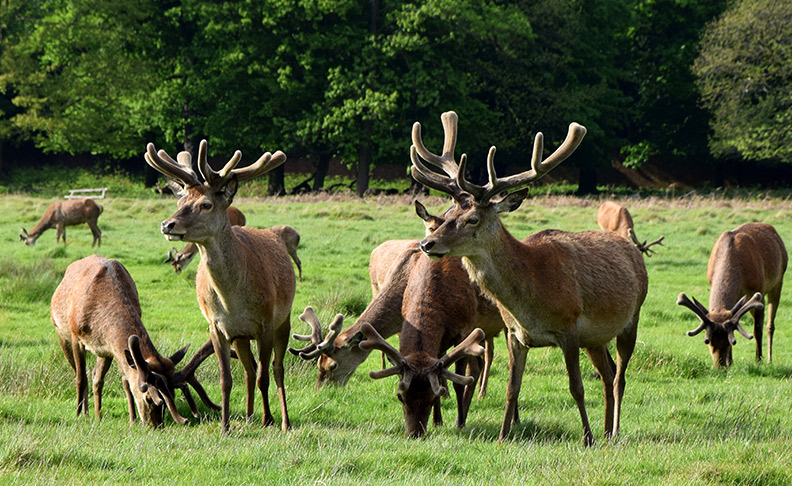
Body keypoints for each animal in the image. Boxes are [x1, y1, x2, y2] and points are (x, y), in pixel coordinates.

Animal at [50, 254, 220, 426]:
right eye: (149, 397)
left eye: (172, 395)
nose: (156, 425)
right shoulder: (75, 336)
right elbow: (80, 378)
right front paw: (78, 415)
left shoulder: (110, 348)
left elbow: (124, 380)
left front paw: (132, 419)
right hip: (60, 332)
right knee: (81, 373)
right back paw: (85, 413)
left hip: (102, 352)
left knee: (96, 377)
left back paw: (98, 415)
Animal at [144, 139, 296, 430]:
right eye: (180, 200)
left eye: (206, 204)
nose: (167, 224)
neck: (232, 300)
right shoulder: (217, 326)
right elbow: (227, 379)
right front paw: (225, 426)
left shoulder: (266, 323)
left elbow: (266, 376)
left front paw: (268, 419)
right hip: (241, 337)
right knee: (248, 370)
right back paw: (248, 416)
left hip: (284, 319)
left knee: (277, 369)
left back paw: (282, 420)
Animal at [412, 111, 648, 444]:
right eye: (446, 216)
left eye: (472, 219)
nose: (427, 244)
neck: (530, 298)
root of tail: (633, 250)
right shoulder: (515, 334)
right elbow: (512, 389)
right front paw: (502, 436)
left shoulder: (569, 327)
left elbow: (577, 387)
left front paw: (587, 438)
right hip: (595, 338)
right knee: (608, 371)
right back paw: (605, 430)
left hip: (632, 318)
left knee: (620, 376)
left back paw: (611, 431)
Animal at [676, 222, 784, 366]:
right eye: (708, 342)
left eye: (729, 343)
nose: (720, 365)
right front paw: (731, 362)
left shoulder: (759, 291)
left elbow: (757, 329)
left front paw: (758, 360)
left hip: (778, 281)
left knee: (769, 325)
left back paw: (768, 358)